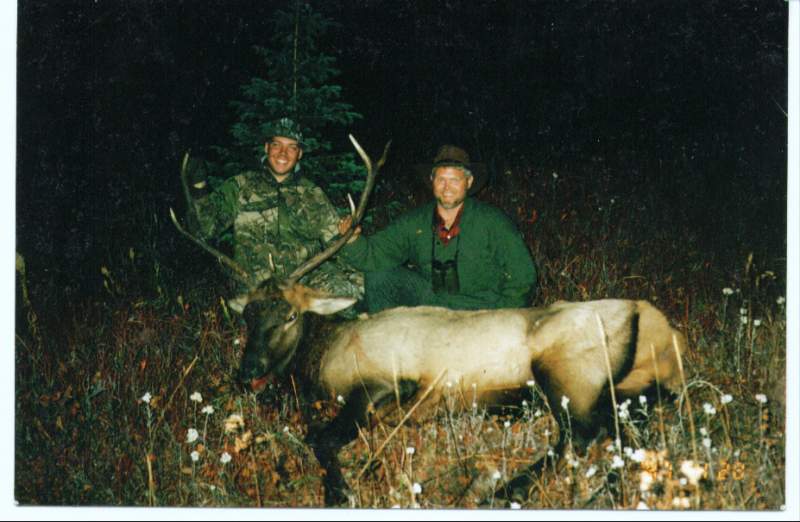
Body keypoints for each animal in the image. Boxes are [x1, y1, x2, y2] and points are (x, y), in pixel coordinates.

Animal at [169, 135, 680, 504]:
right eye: (248, 315)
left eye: (291, 314)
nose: (248, 371)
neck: (323, 360)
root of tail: (652, 319)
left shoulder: (382, 381)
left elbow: (321, 438)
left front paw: (339, 490)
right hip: (629, 391)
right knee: (623, 434)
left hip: (566, 372)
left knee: (583, 433)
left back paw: (506, 490)